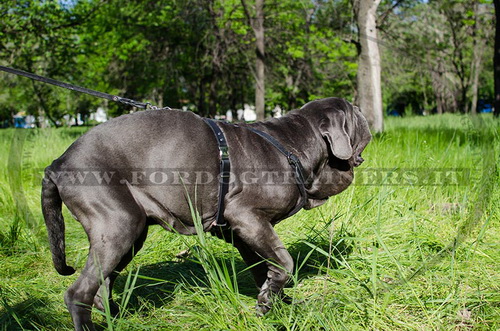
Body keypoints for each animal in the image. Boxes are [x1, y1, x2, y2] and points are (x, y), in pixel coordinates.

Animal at [42, 97, 372, 330]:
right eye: (356, 113)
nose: (366, 118)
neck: (294, 145)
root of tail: (58, 163)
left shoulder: (243, 232)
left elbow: (264, 269)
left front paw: (275, 303)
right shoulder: (248, 218)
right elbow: (285, 262)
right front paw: (268, 303)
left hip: (130, 235)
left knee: (102, 287)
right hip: (119, 225)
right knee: (78, 294)